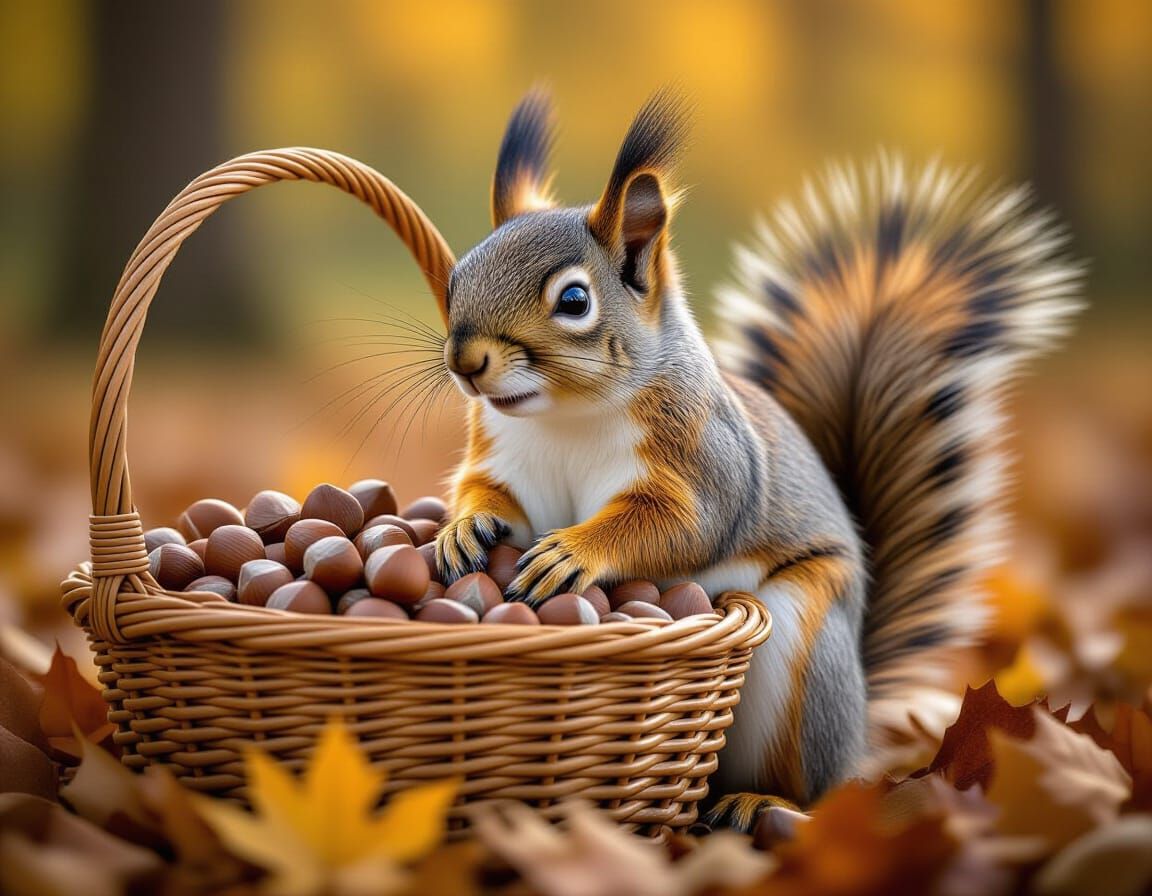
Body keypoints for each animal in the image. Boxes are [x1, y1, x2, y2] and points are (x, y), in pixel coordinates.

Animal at [433, 88, 1083, 831]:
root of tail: (860, 729)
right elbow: (492, 499)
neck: (563, 418)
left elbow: (680, 527)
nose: (466, 361)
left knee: (814, 789)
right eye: (456, 278)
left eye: (574, 299)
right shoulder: (507, 462)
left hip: (803, 655)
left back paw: (760, 800)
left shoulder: (707, 462)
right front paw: (462, 529)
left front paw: (574, 551)